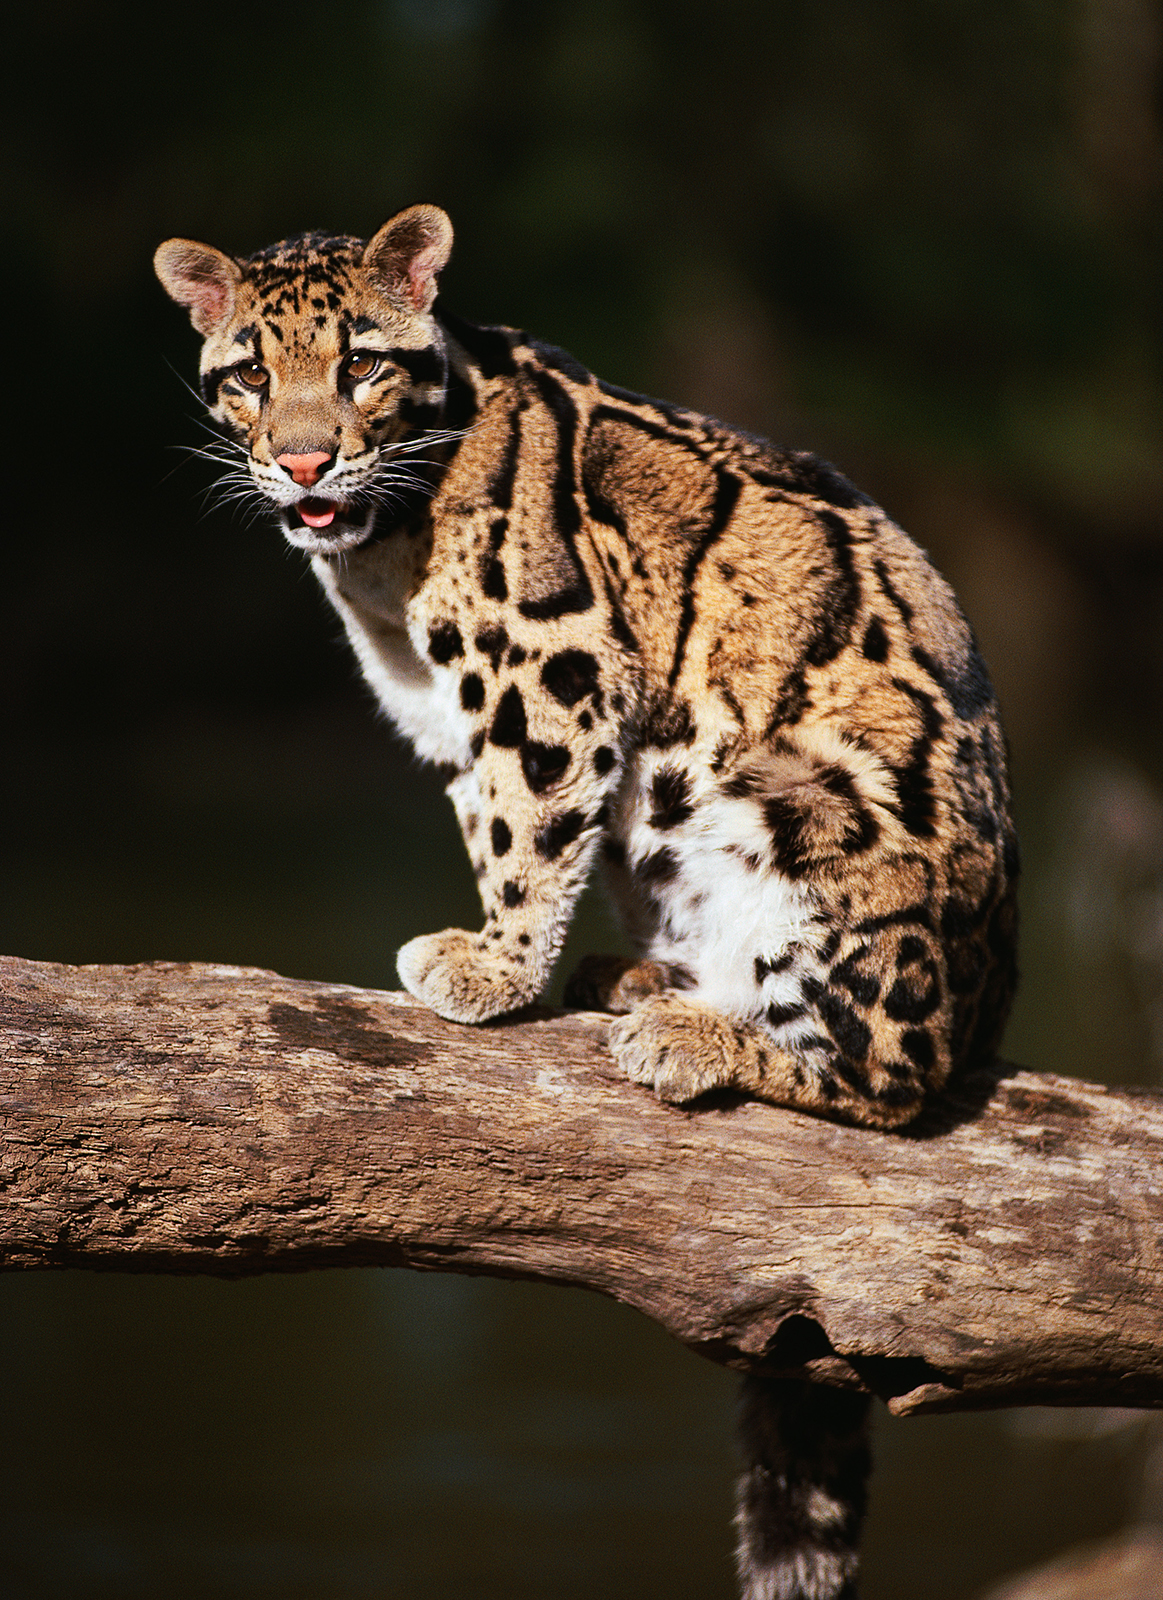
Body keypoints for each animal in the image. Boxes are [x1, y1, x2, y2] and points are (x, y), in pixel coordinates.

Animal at [156, 204, 1018, 1600]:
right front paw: (513, 961)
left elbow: (527, 821)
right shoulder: (447, 711)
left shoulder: (549, 662)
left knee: (898, 1077)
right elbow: (495, 816)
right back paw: (646, 975)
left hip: (803, 817)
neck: (379, 554)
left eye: (358, 364)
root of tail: (998, 993)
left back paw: (693, 1031)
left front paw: (493, 970)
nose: (300, 461)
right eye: (247, 375)